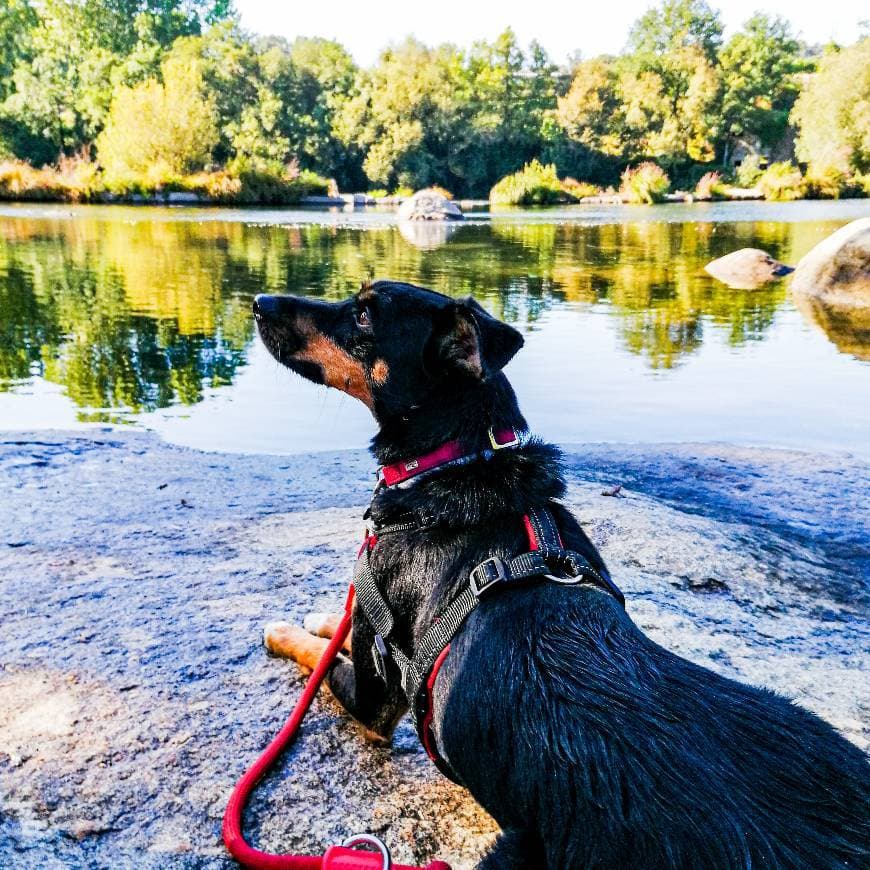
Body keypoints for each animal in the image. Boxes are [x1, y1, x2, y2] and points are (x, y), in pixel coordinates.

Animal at [255, 282, 868, 868]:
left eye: (363, 315)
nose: (259, 302)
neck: (458, 460)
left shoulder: (374, 695)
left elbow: (323, 658)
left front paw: (288, 631)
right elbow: (332, 635)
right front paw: (319, 617)